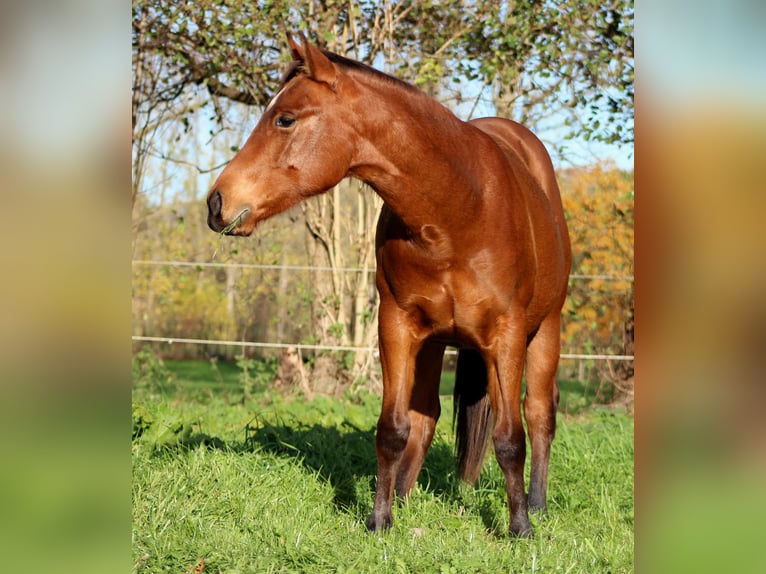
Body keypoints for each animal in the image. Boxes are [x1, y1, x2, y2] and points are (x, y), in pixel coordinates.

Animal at [207, 34, 571, 538]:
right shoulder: (396, 326)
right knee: (426, 416)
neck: (459, 209)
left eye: (285, 119)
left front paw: (519, 528)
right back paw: (404, 495)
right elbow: (393, 427)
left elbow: (510, 436)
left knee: (539, 413)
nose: (216, 203)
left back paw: (536, 504)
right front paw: (381, 518)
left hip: (545, 331)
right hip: (436, 343)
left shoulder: (508, 335)